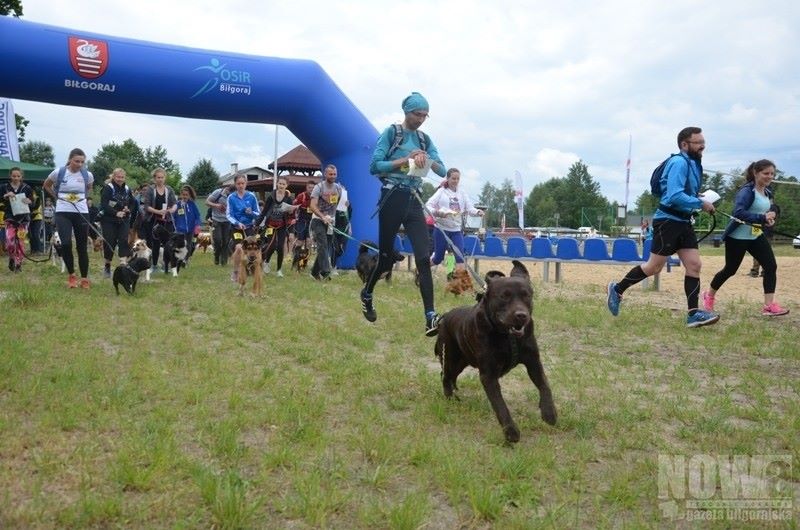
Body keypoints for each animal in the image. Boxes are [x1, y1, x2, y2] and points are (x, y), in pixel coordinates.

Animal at [434, 260, 552, 442]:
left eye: (526, 295)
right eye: (504, 296)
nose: (521, 315)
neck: (508, 337)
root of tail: (444, 317)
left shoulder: (533, 362)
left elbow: (545, 385)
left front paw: (549, 412)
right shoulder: (488, 375)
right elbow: (500, 405)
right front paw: (511, 432)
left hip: (461, 361)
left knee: (451, 376)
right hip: (450, 358)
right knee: (445, 375)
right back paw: (450, 397)